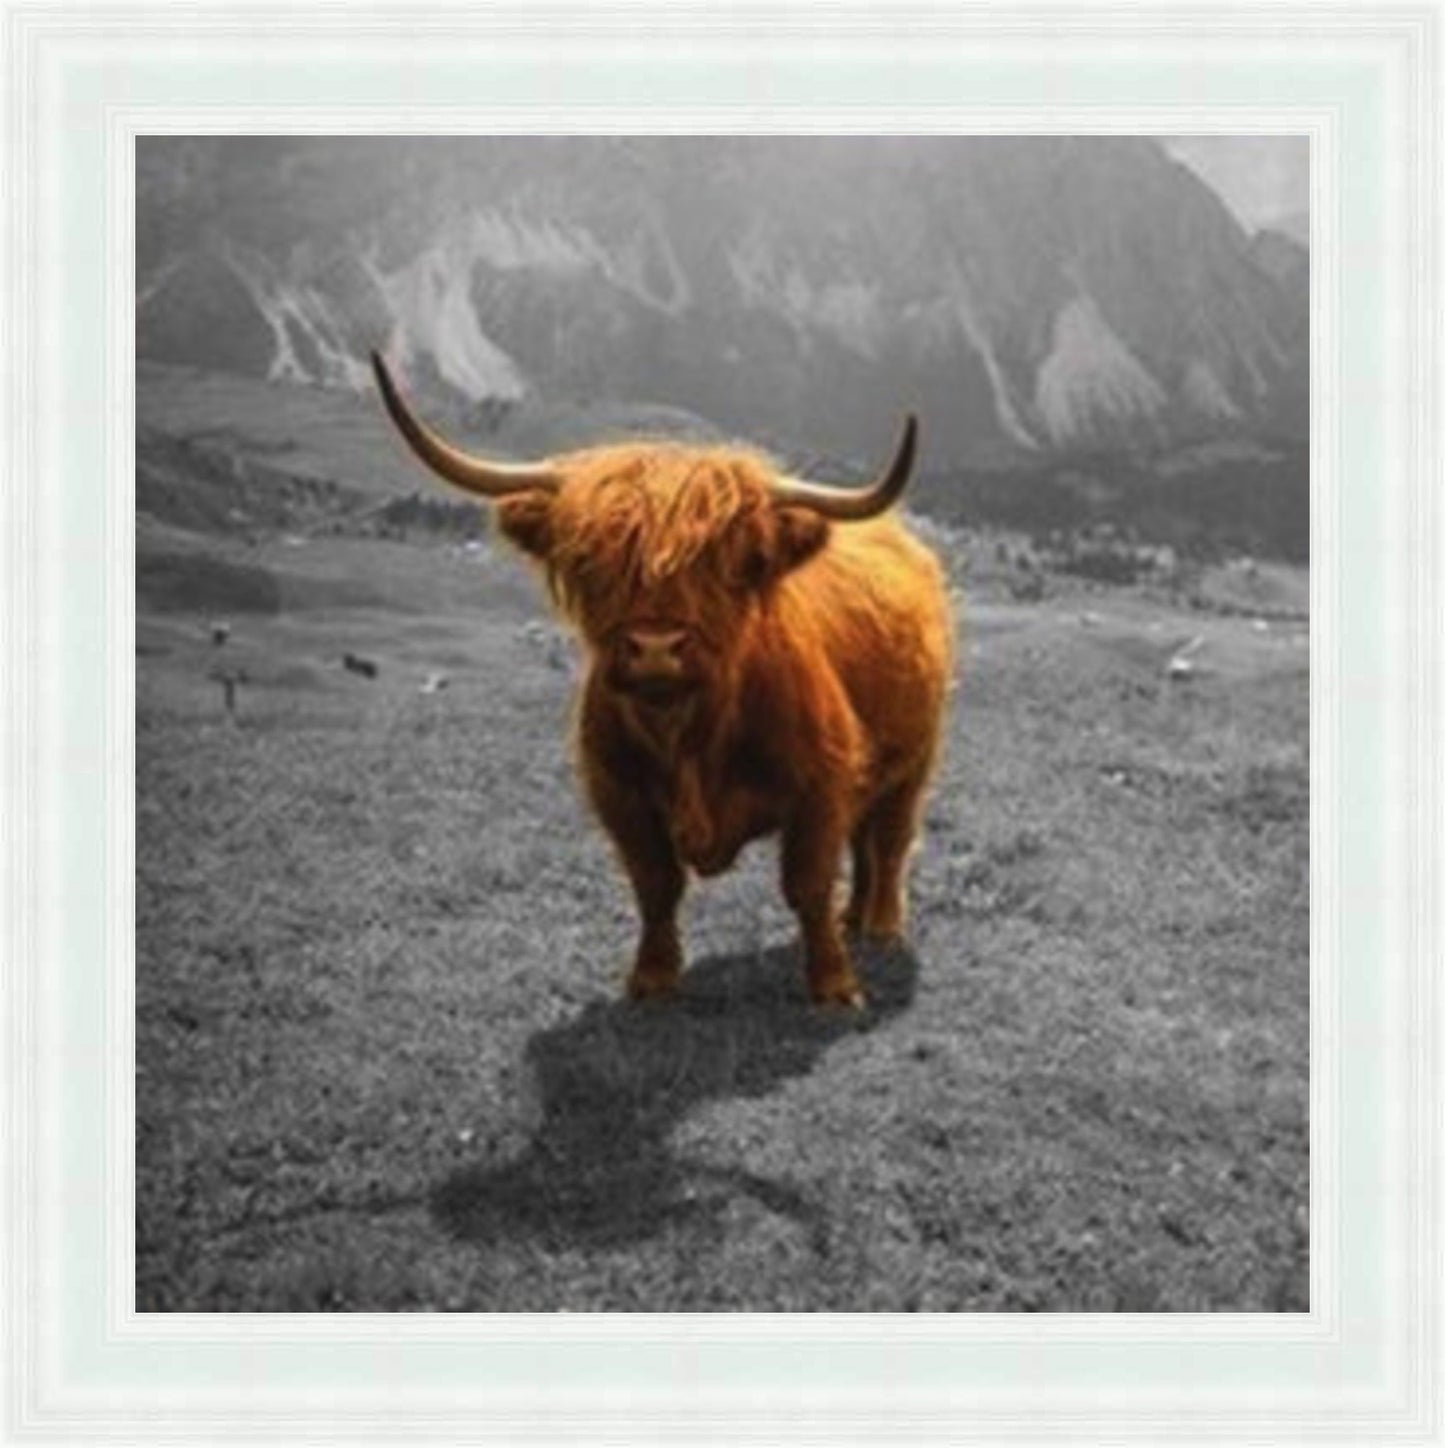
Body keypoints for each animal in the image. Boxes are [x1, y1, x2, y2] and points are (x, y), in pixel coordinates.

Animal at [372, 352, 954, 1008]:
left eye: (732, 563)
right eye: (591, 561)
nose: (655, 649)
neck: (687, 734)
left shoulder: (820, 786)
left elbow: (807, 884)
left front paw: (833, 984)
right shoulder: (619, 794)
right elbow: (654, 885)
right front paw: (651, 976)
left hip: (915, 759)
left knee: (890, 837)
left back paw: (879, 924)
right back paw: (855, 917)